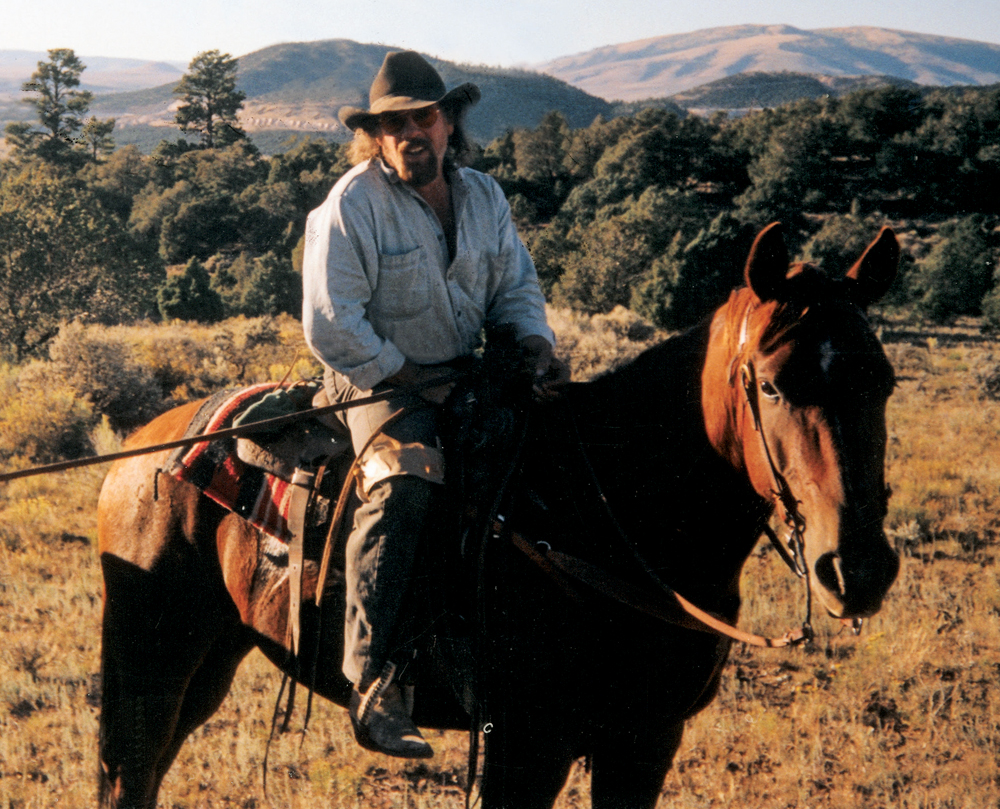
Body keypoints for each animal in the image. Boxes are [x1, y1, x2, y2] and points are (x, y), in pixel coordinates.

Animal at [97, 223, 904, 808]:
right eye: (770, 384)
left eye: (885, 380)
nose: (857, 566)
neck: (604, 516)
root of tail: (142, 450)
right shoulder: (526, 746)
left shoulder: (644, 741)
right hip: (152, 657)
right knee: (127, 776)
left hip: (213, 655)